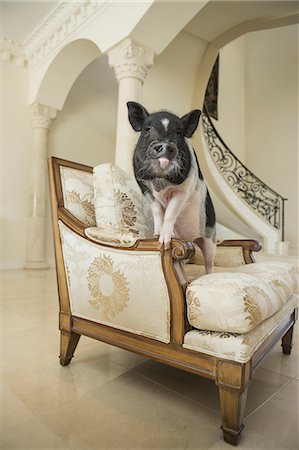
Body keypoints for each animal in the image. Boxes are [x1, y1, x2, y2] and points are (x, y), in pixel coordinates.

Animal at [127, 101, 217, 274]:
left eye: (179, 133)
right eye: (147, 129)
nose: (165, 144)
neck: (161, 185)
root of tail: (191, 239)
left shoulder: (183, 191)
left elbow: (170, 213)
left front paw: (164, 243)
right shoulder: (146, 189)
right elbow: (158, 212)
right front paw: (155, 237)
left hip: (210, 236)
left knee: (209, 262)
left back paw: (210, 274)